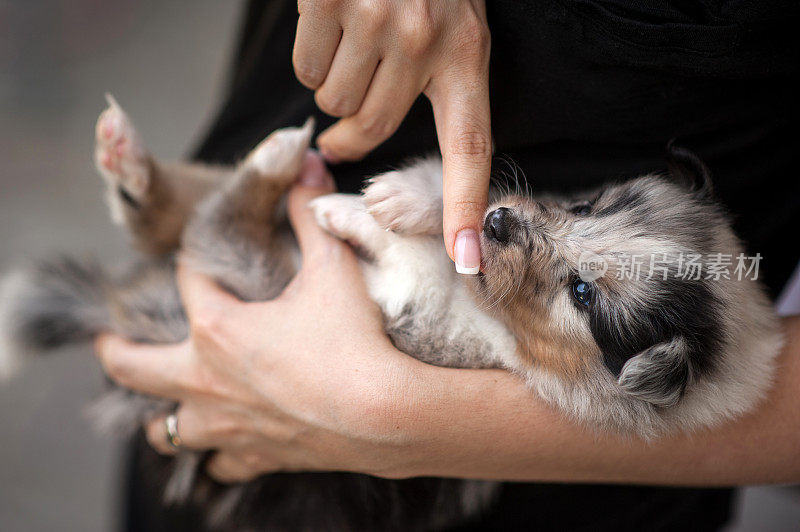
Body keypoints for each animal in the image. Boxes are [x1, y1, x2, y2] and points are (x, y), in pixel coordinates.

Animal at [0, 97, 780, 528]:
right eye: (586, 205)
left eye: (584, 293)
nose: (497, 223)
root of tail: (126, 308)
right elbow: (455, 197)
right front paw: (403, 198)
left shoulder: (431, 322)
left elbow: (416, 264)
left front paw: (359, 214)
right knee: (174, 213)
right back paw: (139, 157)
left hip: (253, 271)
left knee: (211, 222)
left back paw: (274, 164)